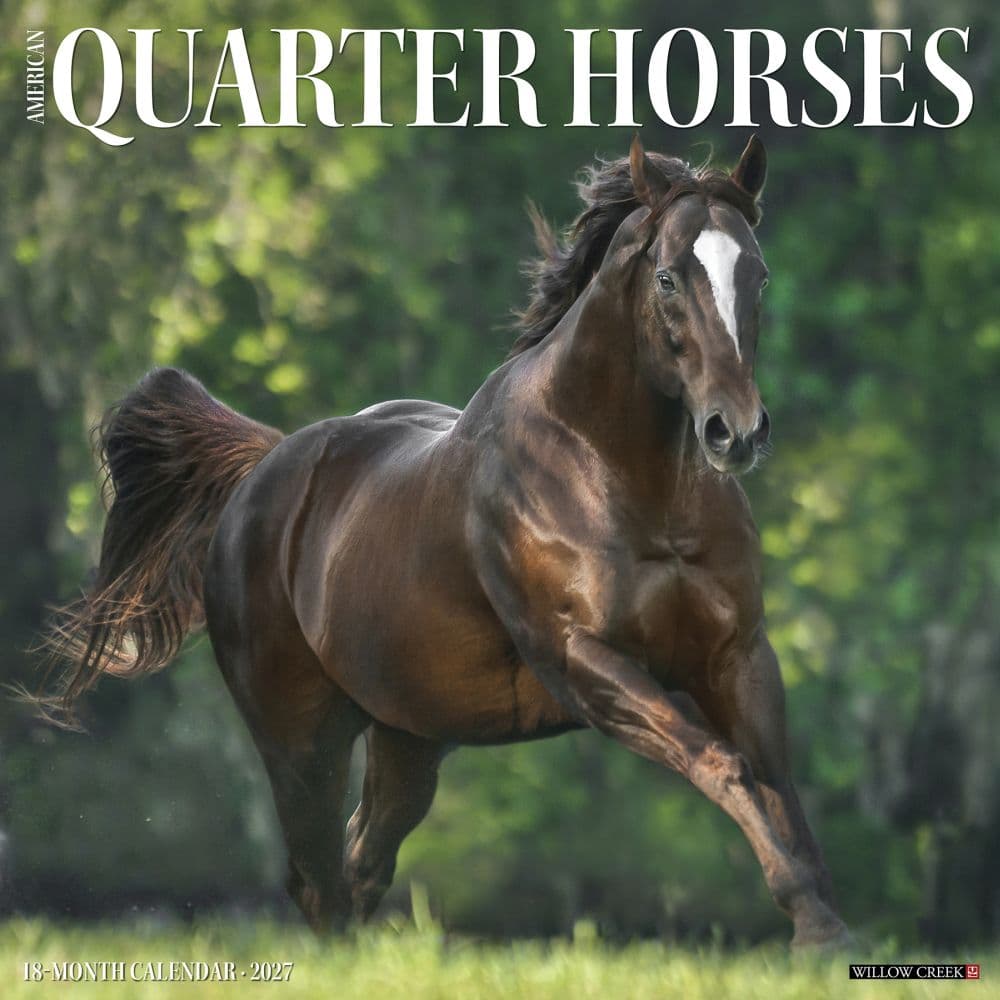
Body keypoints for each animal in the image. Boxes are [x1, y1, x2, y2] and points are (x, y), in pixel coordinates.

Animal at [37, 136, 850, 948]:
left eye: (758, 273)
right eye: (669, 277)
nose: (734, 432)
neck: (622, 479)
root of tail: (262, 469)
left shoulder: (737, 655)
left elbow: (776, 784)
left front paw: (824, 919)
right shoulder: (584, 662)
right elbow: (725, 764)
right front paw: (812, 922)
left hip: (408, 735)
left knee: (361, 862)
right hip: (300, 736)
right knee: (317, 878)